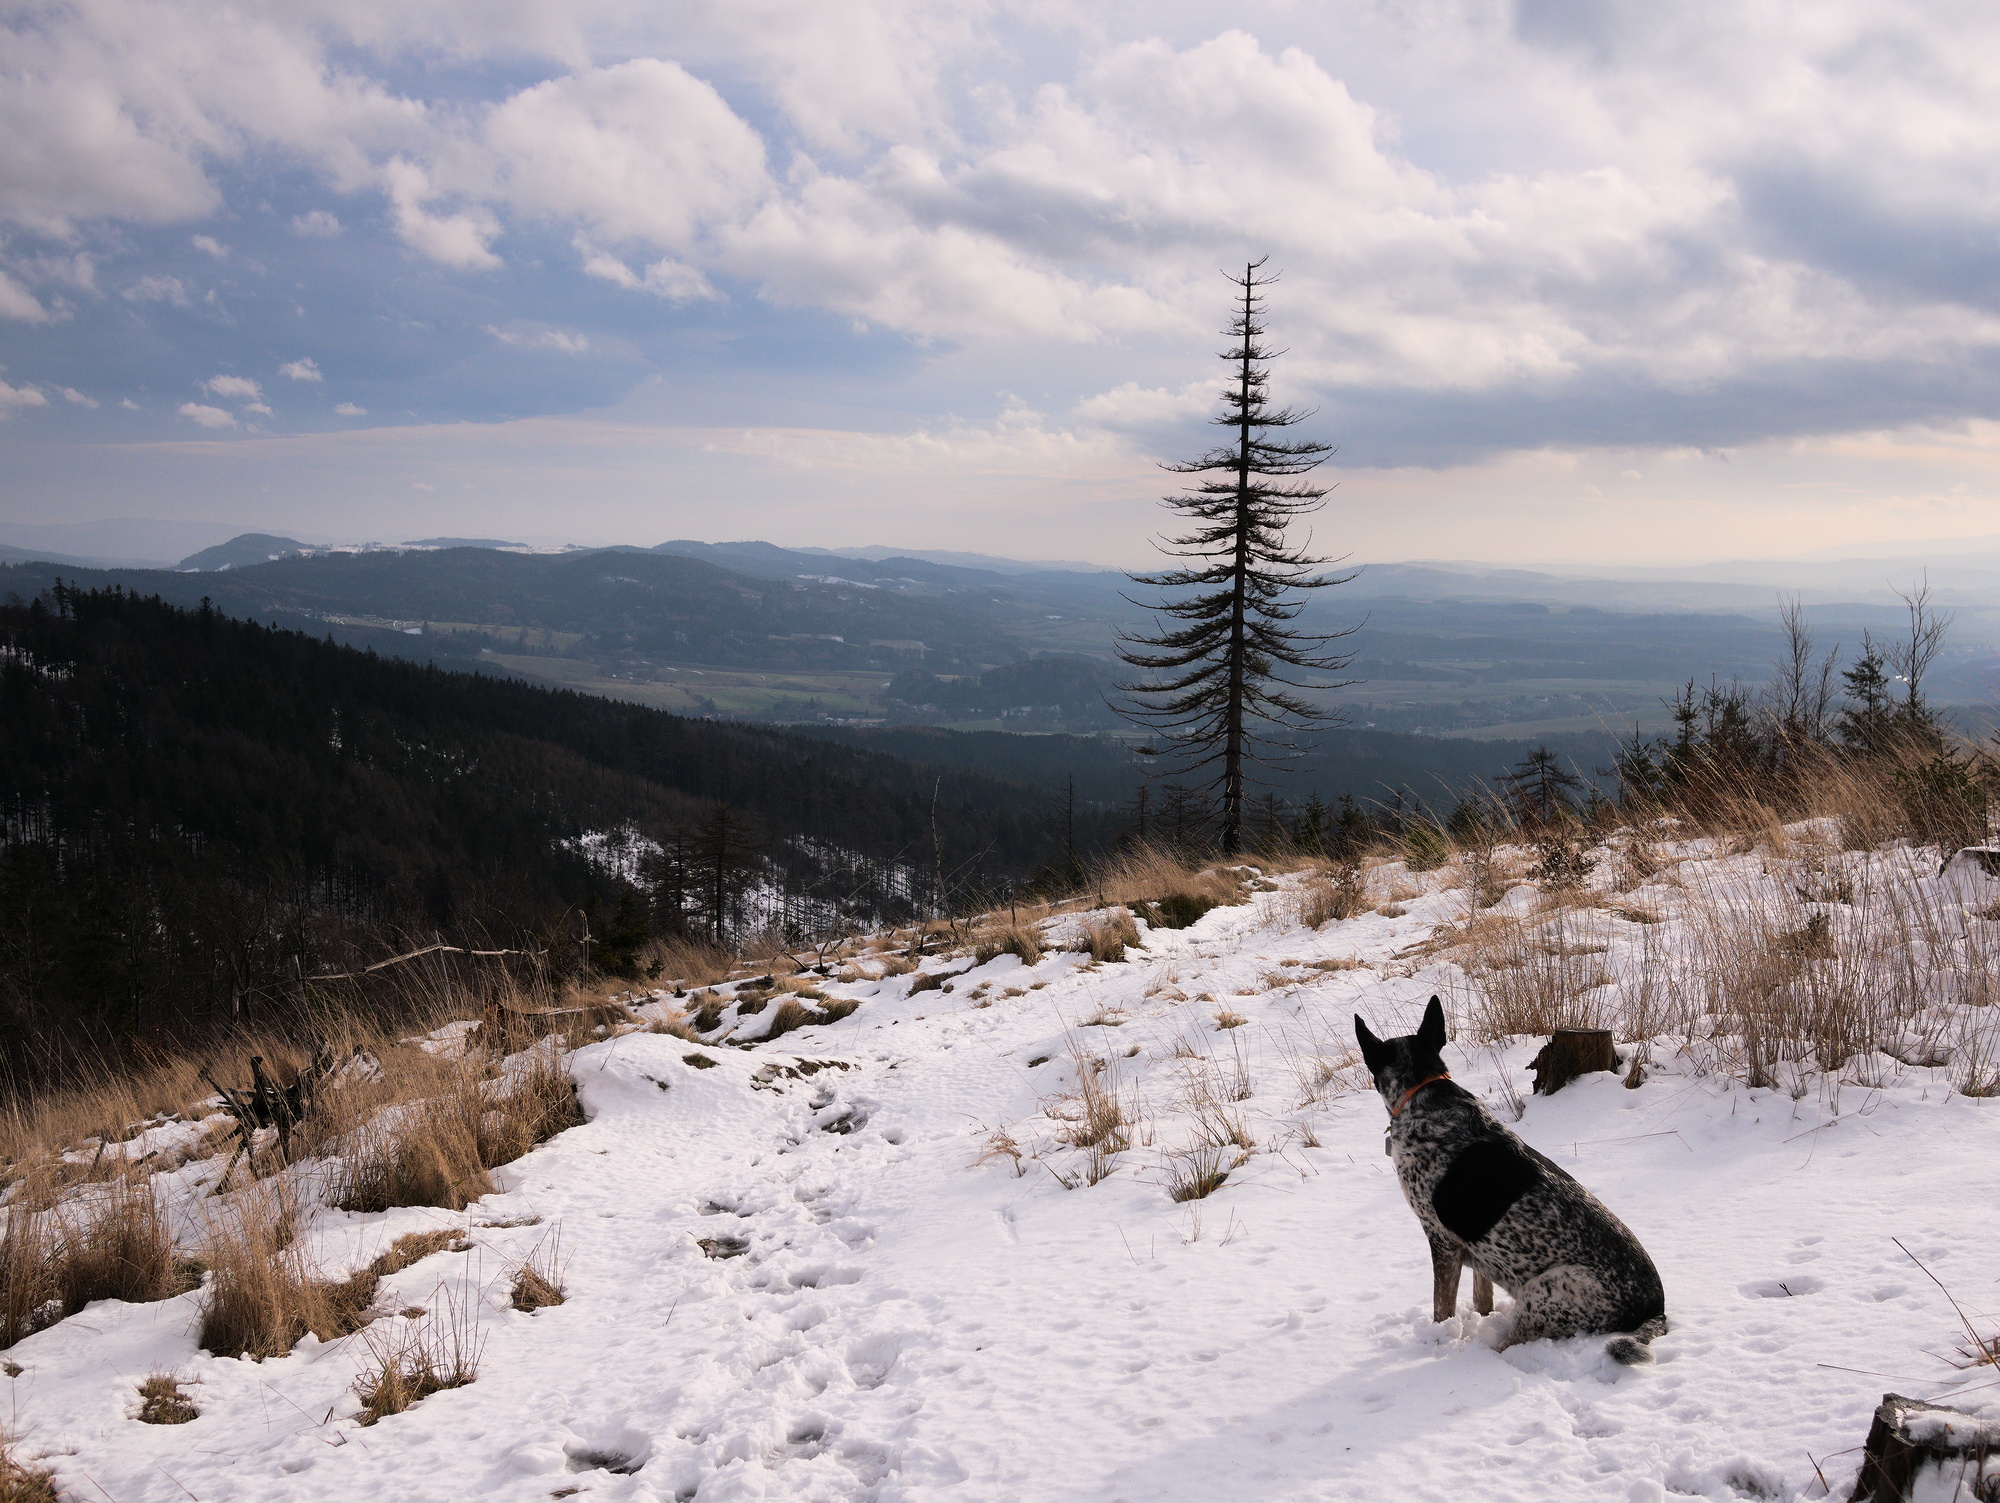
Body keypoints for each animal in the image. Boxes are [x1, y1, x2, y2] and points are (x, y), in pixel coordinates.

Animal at [1360, 999, 1672, 1359]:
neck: (1425, 1091)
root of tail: (1657, 1311)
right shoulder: (1475, 1250)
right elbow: (1482, 1298)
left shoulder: (1442, 1241)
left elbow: (1442, 1309)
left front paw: (1437, 1344)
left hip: (1543, 1291)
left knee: (1510, 1345)